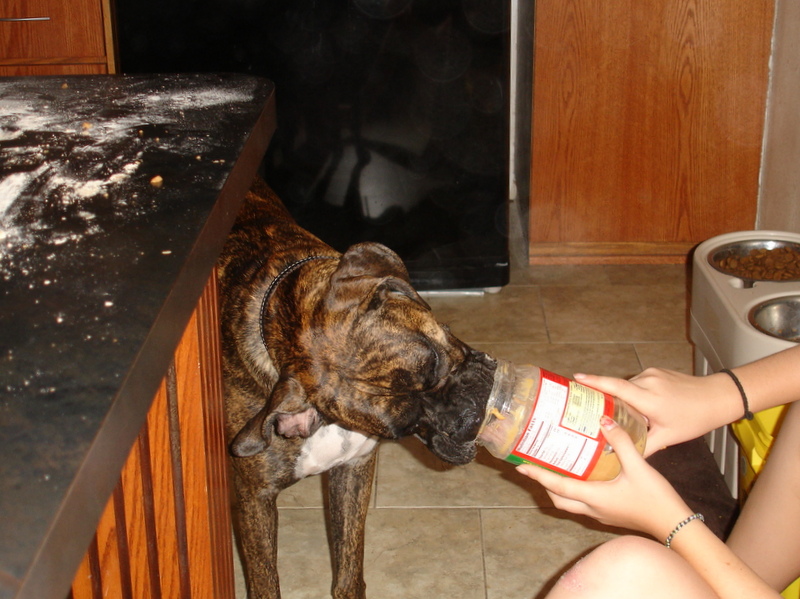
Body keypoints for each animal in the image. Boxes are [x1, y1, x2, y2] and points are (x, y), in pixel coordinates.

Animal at [217, 179, 494, 599]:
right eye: (404, 426)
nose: (463, 416)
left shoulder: (353, 470)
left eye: (433, 359)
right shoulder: (255, 500)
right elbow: (266, 580)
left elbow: (348, 567)